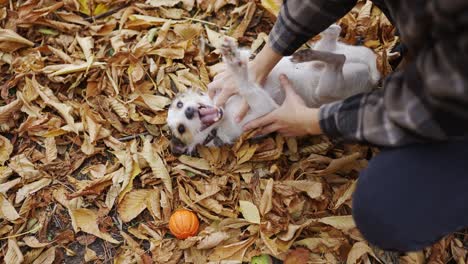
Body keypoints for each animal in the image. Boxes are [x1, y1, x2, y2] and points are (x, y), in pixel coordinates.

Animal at [166, 24, 378, 155]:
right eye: (181, 129)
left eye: (179, 104)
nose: (189, 111)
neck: (222, 113)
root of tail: (371, 75)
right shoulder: (265, 109)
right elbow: (246, 85)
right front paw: (236, 65)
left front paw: (238, 57)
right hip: (328, 87)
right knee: (338, 58)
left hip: (336, 54)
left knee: (335, 40)